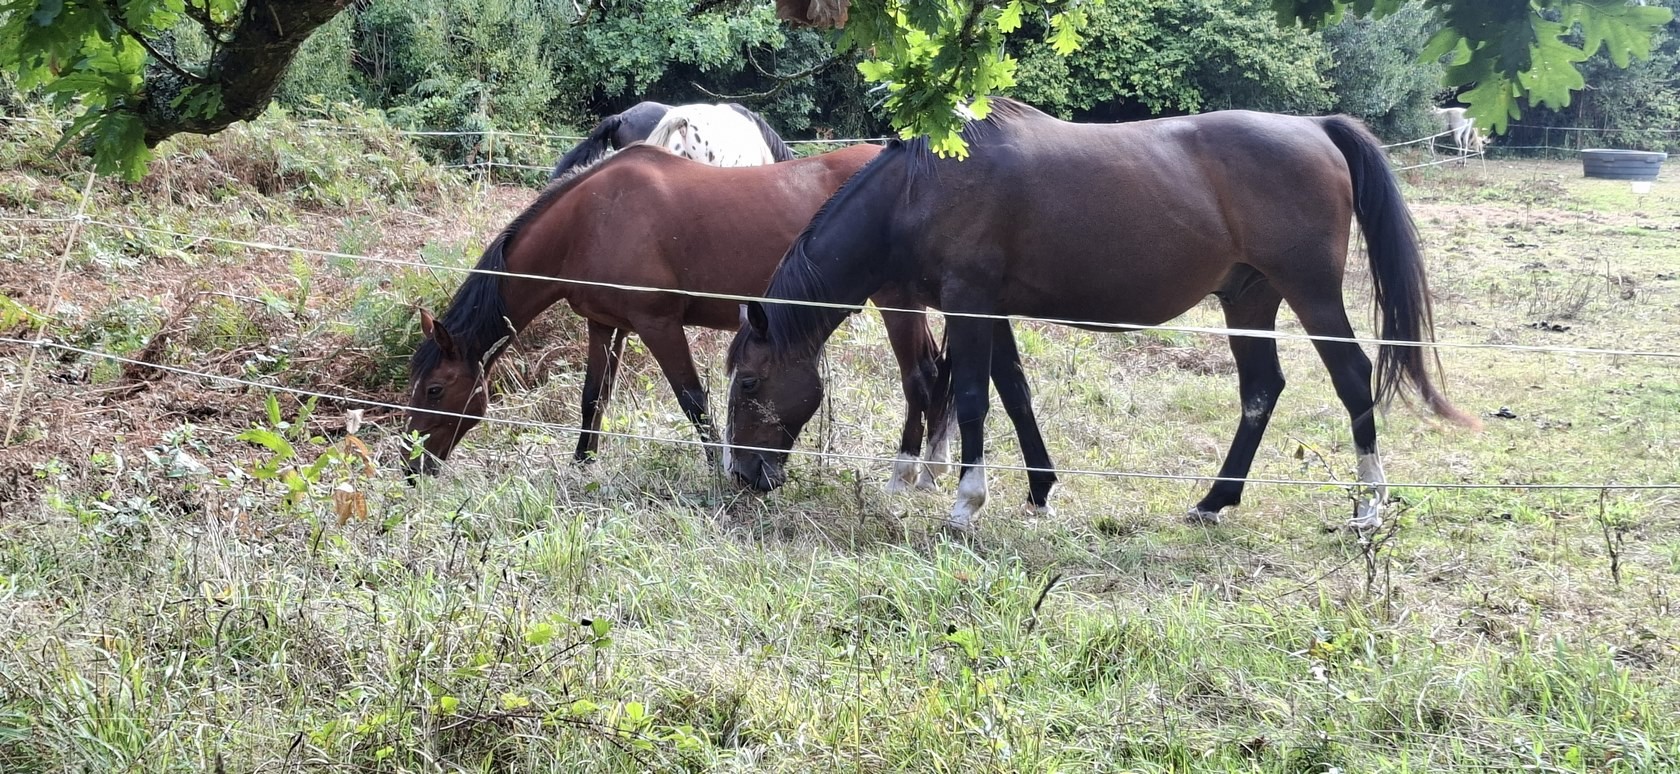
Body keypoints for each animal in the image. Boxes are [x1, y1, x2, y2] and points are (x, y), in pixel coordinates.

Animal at [406, 143, 951, 485]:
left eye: (434, 389)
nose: (411, 467)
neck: (591, 218)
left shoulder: (659, 324)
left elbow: (693, 401)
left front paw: (716, 470)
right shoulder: (606, 324)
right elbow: (593, 398)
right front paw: (582, 465)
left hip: (899, 305)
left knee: (920, 377)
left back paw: (912, 474)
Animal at [723, 97, 1478, 533]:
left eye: (750, 383)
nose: (745, 477)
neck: (924, 184)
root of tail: (1315, 128)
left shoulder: (970, 303)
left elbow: (971, 398)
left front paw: (967, 505)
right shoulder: (994, 310)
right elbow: (1015, 394)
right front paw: (1039, 491)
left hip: (1311, 291)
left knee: (1352, 376)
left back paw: (1370, 506)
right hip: (1249, 296)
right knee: (1262, 388)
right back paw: (1214, 501)